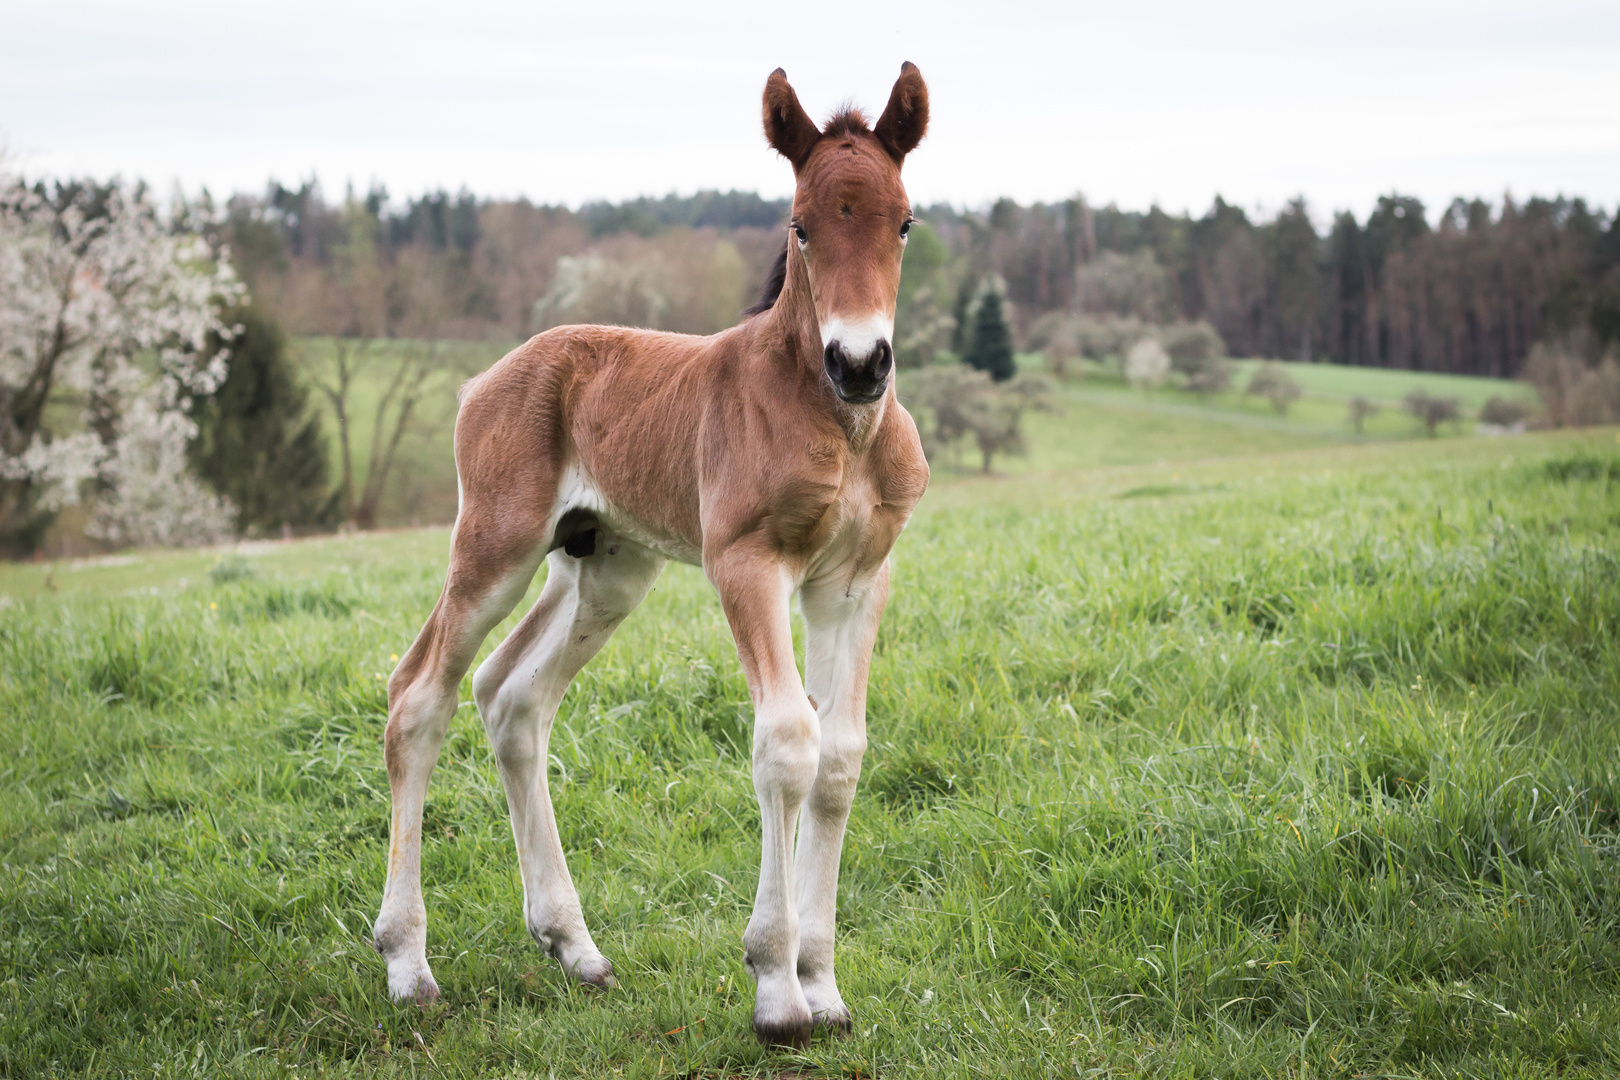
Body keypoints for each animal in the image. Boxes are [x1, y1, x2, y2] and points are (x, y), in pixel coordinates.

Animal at [367, 61, 926, 1049]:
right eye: (801, 224)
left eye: (904, 220)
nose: (860, 363)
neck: (840, 427)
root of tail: (482, 379)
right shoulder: (747, 563)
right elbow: (786, 741)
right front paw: (777, 991)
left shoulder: (856, 582)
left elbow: (840, 758)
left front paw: (824, 985)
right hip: (495, 547)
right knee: (419, 693)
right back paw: (408, 964)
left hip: (605, 566)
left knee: (511, 696)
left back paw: (574, 946)